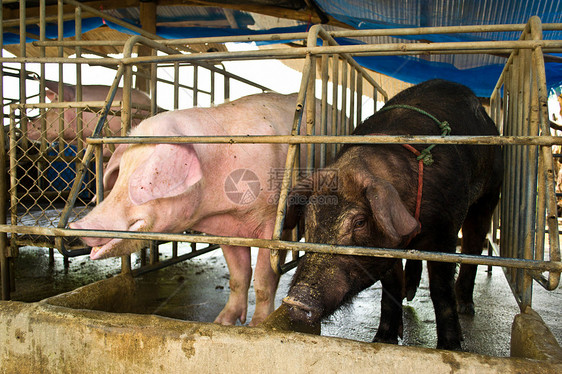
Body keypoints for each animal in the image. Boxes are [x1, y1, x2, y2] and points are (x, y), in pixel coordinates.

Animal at [69, 93, 324, 328]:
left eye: (142, 180)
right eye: (121, 173)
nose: (77, 225)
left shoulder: (273, 223)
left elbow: (263, 279)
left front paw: (257, 326)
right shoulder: (225, 228)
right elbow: (238, 276)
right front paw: (221, 323)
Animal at [282, 79, 500, 350]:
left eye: (360, 222)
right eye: (309, 218)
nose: (296, 301)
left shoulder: (446, 230)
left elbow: (440, 289)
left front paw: (450, 347)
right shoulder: (388, 244)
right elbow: (391, 286)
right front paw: (383, 339)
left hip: (490, 194)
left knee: (474, 244)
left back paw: (466, 307)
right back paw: (411, 293)